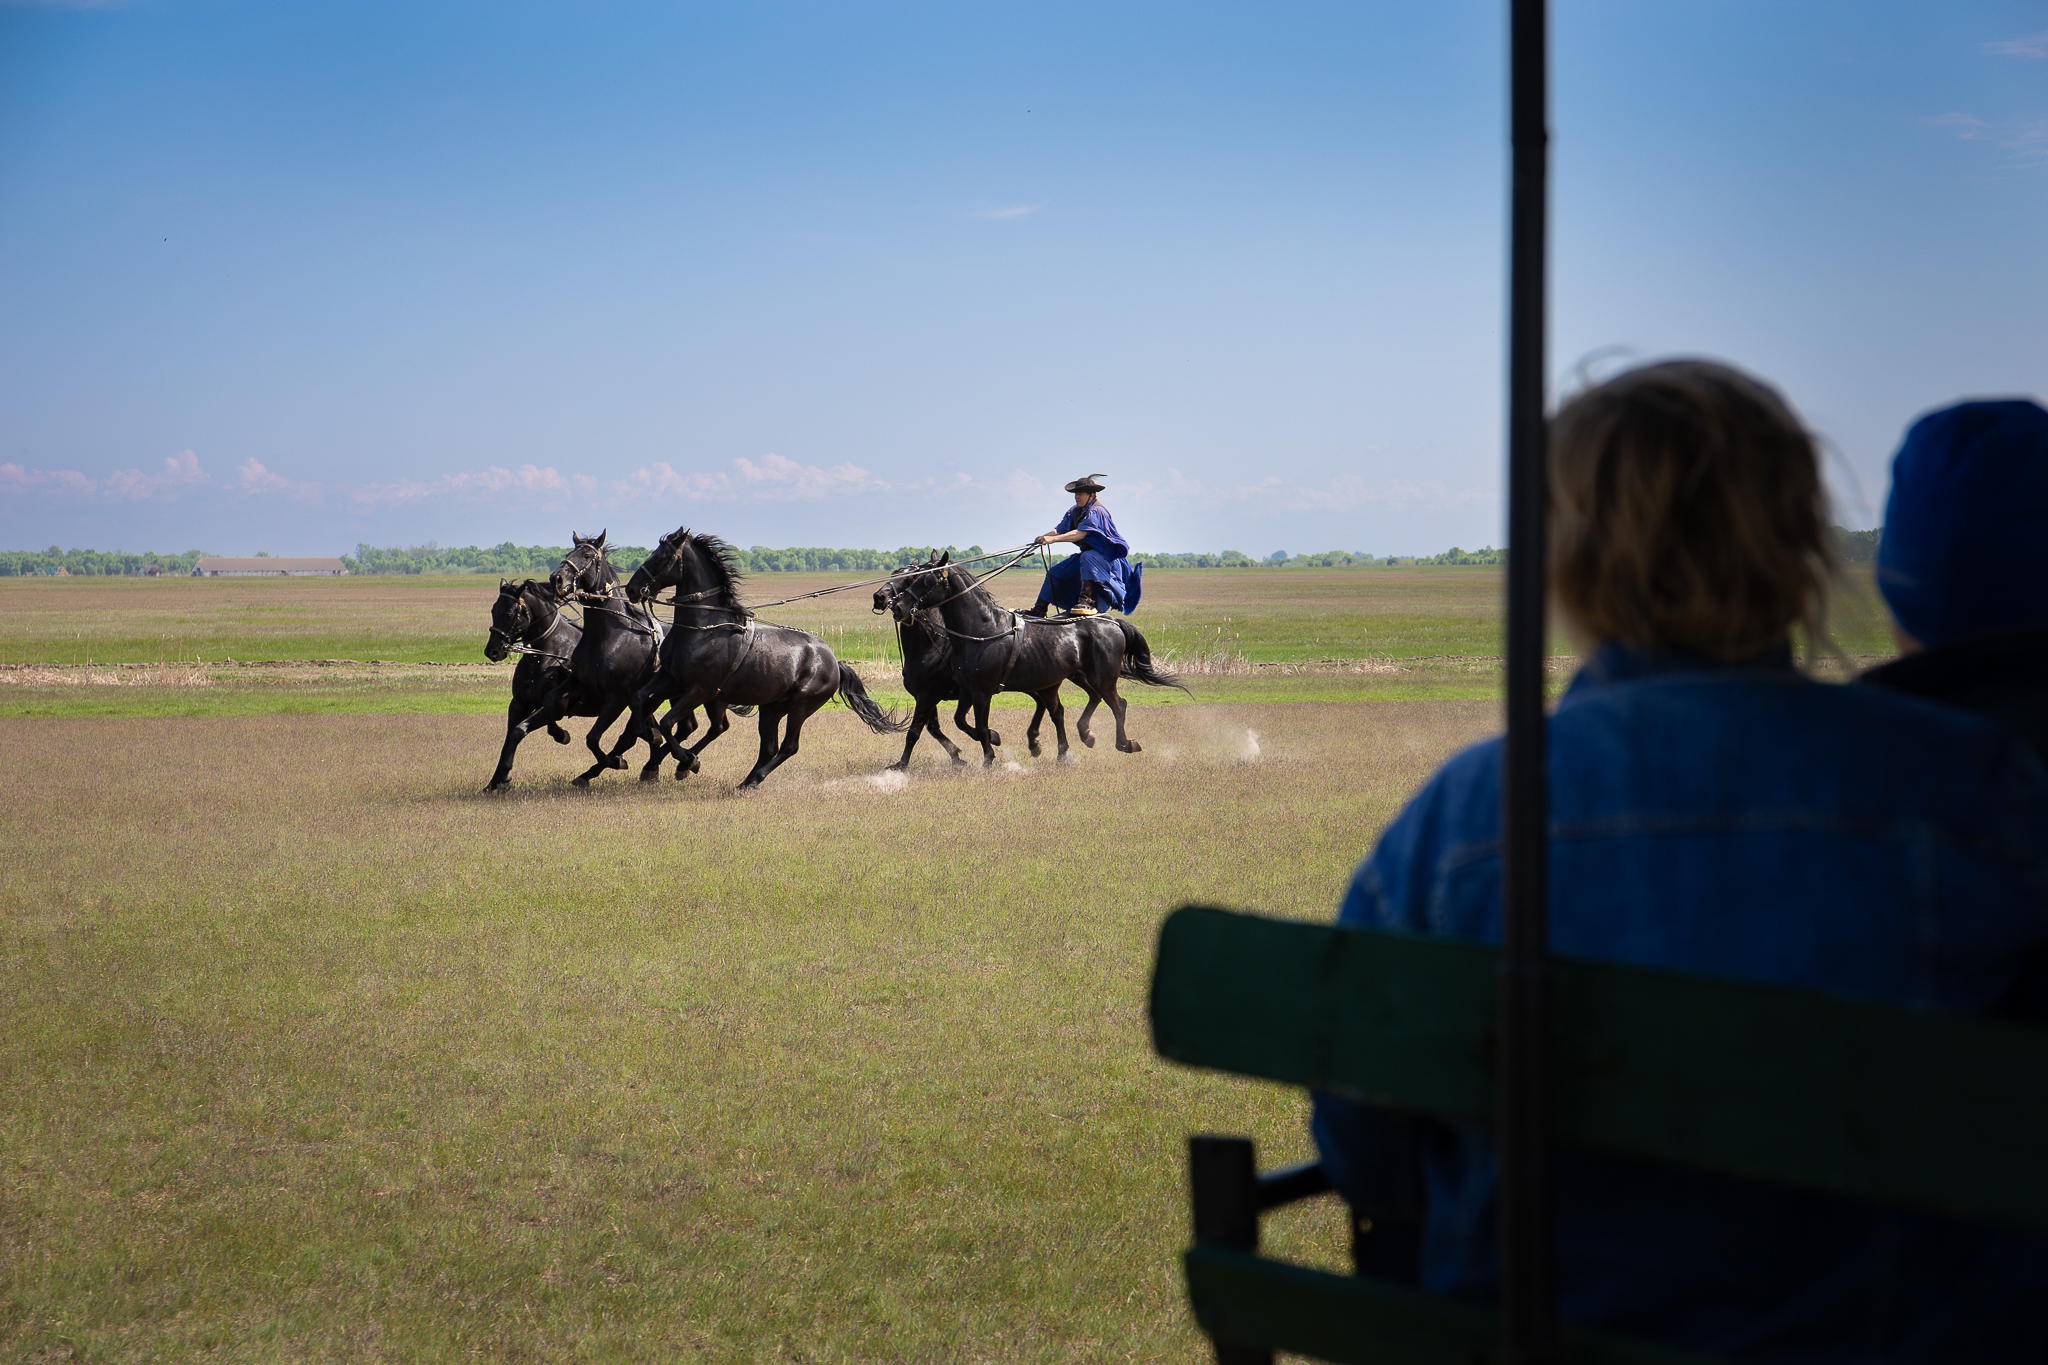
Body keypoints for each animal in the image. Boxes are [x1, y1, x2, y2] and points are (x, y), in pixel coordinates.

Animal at [477, 577, 581, 789]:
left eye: (509, 613)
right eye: (493, 610)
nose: (492, 651)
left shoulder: (556, 704)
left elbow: (519, 731)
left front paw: (562, 735)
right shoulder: (520, 704)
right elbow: (510, 736)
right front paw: (496, 781)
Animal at [512, 532, 671, 789]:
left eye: (587, 555)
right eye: (569, 553)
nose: (556, 579)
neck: (608, 639)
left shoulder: (617, 697)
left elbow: (593, 738)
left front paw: (615, 761)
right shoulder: (580, 683)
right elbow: (549, 700)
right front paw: (561, 734)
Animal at [618, 527, 901, 794]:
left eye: (661, 557)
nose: (632, 589)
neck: (703, 629)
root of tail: (834, 663)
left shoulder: (700, 690)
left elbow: (667, 723)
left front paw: (688, 761)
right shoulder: (670, 679)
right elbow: (638, 699)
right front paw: (648, 739)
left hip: (800, 706)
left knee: (787, 747)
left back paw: (750, 779)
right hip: (771, 709)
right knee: (767, 747)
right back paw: (744, 782)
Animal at [892, 556, 1187, 769]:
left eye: (926, 580)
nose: (897, 606)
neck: (982, 630)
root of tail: (1110, 621)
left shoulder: (977, 693)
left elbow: (962, 726)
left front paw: (987, 759)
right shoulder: (966, 690)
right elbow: (961, 722)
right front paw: (991, 744)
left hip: (1101, 678)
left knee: (1118, 705)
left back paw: (1124, 743)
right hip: (1071, 677)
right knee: (1070, 707)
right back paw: (1074, 742)